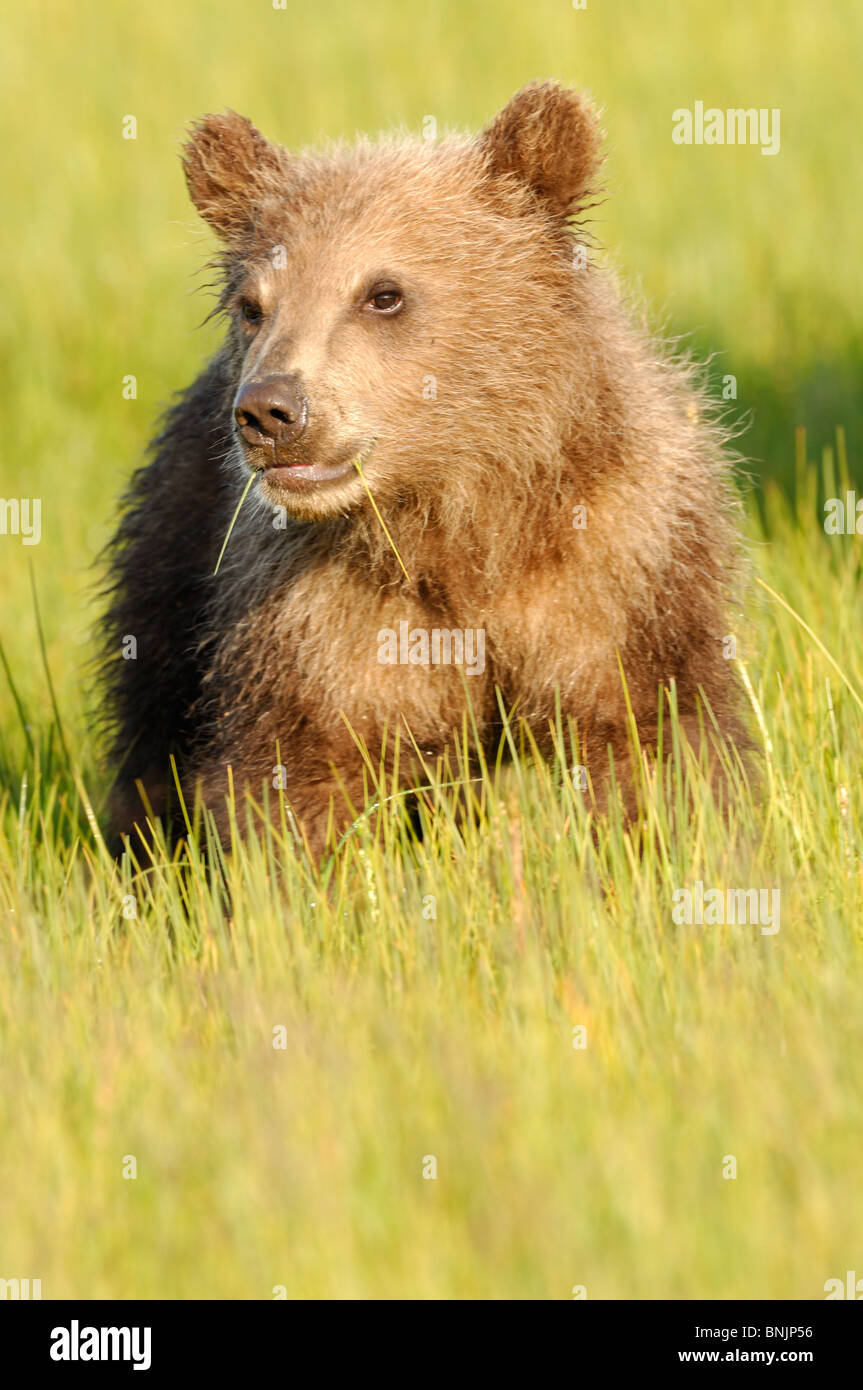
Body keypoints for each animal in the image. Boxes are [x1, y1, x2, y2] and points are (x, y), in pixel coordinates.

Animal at [99, 80, 744, 857]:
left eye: (383, 293)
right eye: (252, 305)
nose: (270, 411)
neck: (460, 518)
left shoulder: (620, 571)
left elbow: (655, 740)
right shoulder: (317, 620)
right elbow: (296, 776)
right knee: (152, 726)